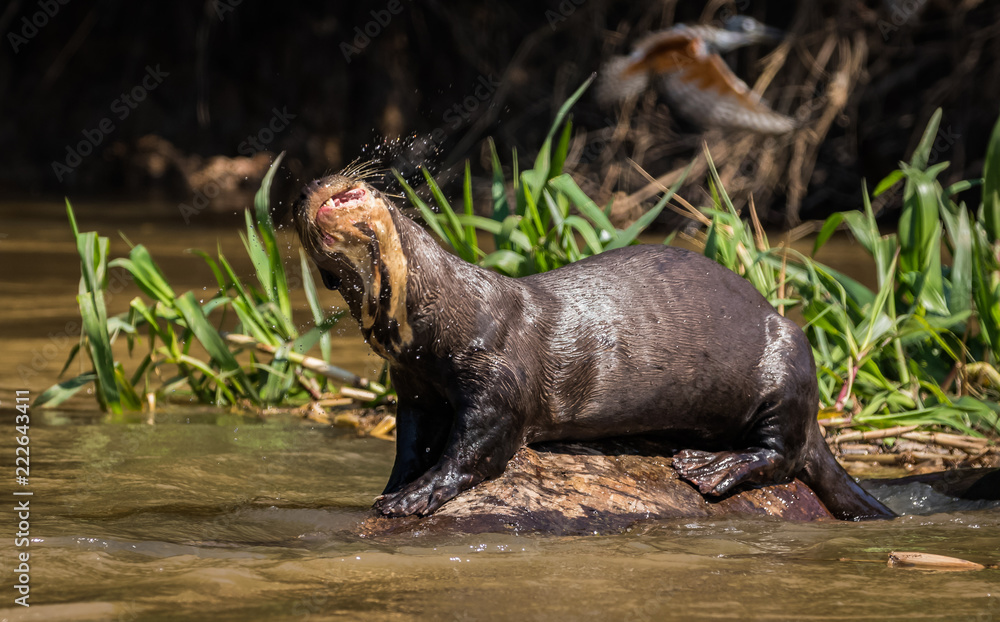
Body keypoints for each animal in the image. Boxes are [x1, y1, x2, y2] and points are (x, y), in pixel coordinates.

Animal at [292, 170, 894, 521]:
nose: (312, 183)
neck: (449, 315)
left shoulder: (496, 375)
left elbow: (477, 448)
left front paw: (417, 496)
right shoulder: (414, 386)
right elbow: (410, 443)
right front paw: (392, 488)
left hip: (788, 361)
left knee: (783, 454)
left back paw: (711, 467)